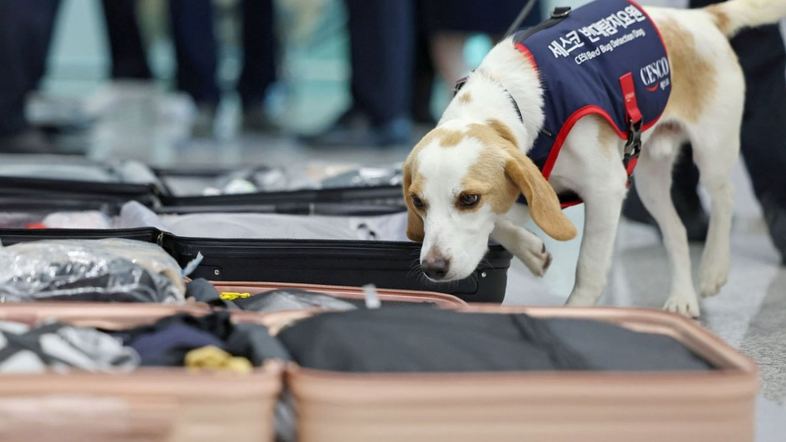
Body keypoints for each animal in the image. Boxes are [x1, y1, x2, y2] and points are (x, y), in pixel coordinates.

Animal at [404, 0, 784, 318]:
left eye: (469, 199)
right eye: (418, 203)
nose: (433, 268)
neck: (509, 95)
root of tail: (700, 19)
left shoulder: (605, 190)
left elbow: (589, 267)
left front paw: (576, 311)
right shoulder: (532, 188)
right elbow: (500, 222)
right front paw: (530, 250)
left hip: (712, 151)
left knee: (723, 200)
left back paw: (713, 270)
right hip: (648, 180)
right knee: (676, 230)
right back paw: (682, 298)